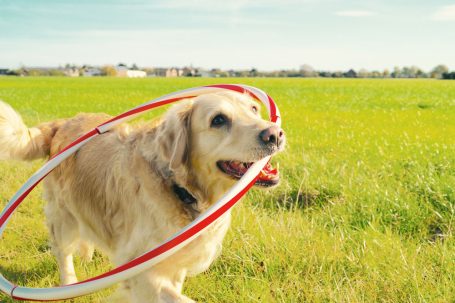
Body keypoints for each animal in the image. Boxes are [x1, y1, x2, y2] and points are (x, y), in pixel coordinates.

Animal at [0, 91, 284, 302]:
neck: (179, 187)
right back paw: (69, 283)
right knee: (63, 252)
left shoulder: (173, 264)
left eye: (254, 109)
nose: (274, 134)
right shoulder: (142, 273)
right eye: (218, 120)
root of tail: (63, 123)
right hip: (63, 216)